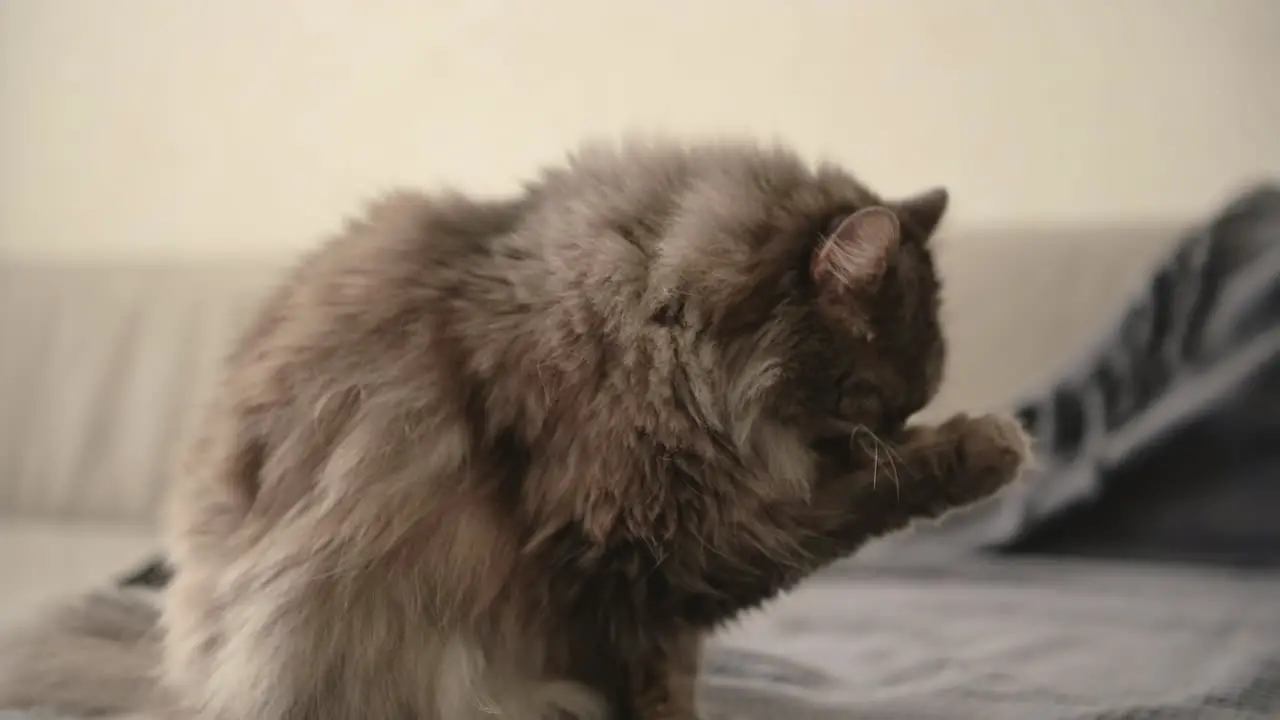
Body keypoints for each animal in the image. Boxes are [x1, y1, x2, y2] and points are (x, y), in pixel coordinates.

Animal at [0, 137, 1024, 712]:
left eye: (907, 401)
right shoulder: (654, 540)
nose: (897, 428)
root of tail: (182, 689)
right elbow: (838, 513)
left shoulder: (649, 583)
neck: (659, 316)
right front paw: (986, 445)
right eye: (872, 400)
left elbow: (670, 680)